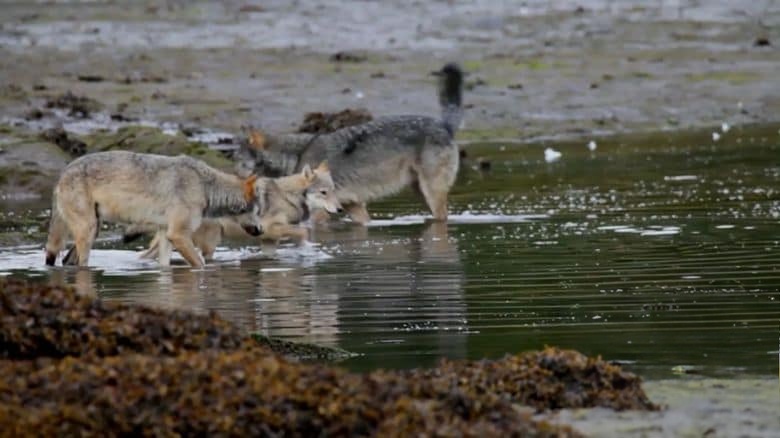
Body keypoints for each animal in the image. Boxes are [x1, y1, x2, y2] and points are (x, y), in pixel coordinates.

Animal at [44, 151, 268, 269]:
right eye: (259, 211)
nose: (261, 231)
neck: (205, 187)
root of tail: (63, 173)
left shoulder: (166, 236)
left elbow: (164, 268)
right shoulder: (178, 235)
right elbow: (200, 264)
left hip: (93, 229)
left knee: (65, 260)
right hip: (88, 232)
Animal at [135, 162, 340, 264]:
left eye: (333, 190)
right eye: (324, 192)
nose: (340, 209)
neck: (288, 196)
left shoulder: (269, 240)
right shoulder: (269, 230)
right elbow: (303, 231)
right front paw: (305, 247)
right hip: (209, 244)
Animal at [235, 63, 464, 225]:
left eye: (236, 158)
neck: (297, 155)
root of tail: (444, 125)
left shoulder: (322, 212)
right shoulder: (353, 206)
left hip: (431, 194)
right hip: (421, 192)